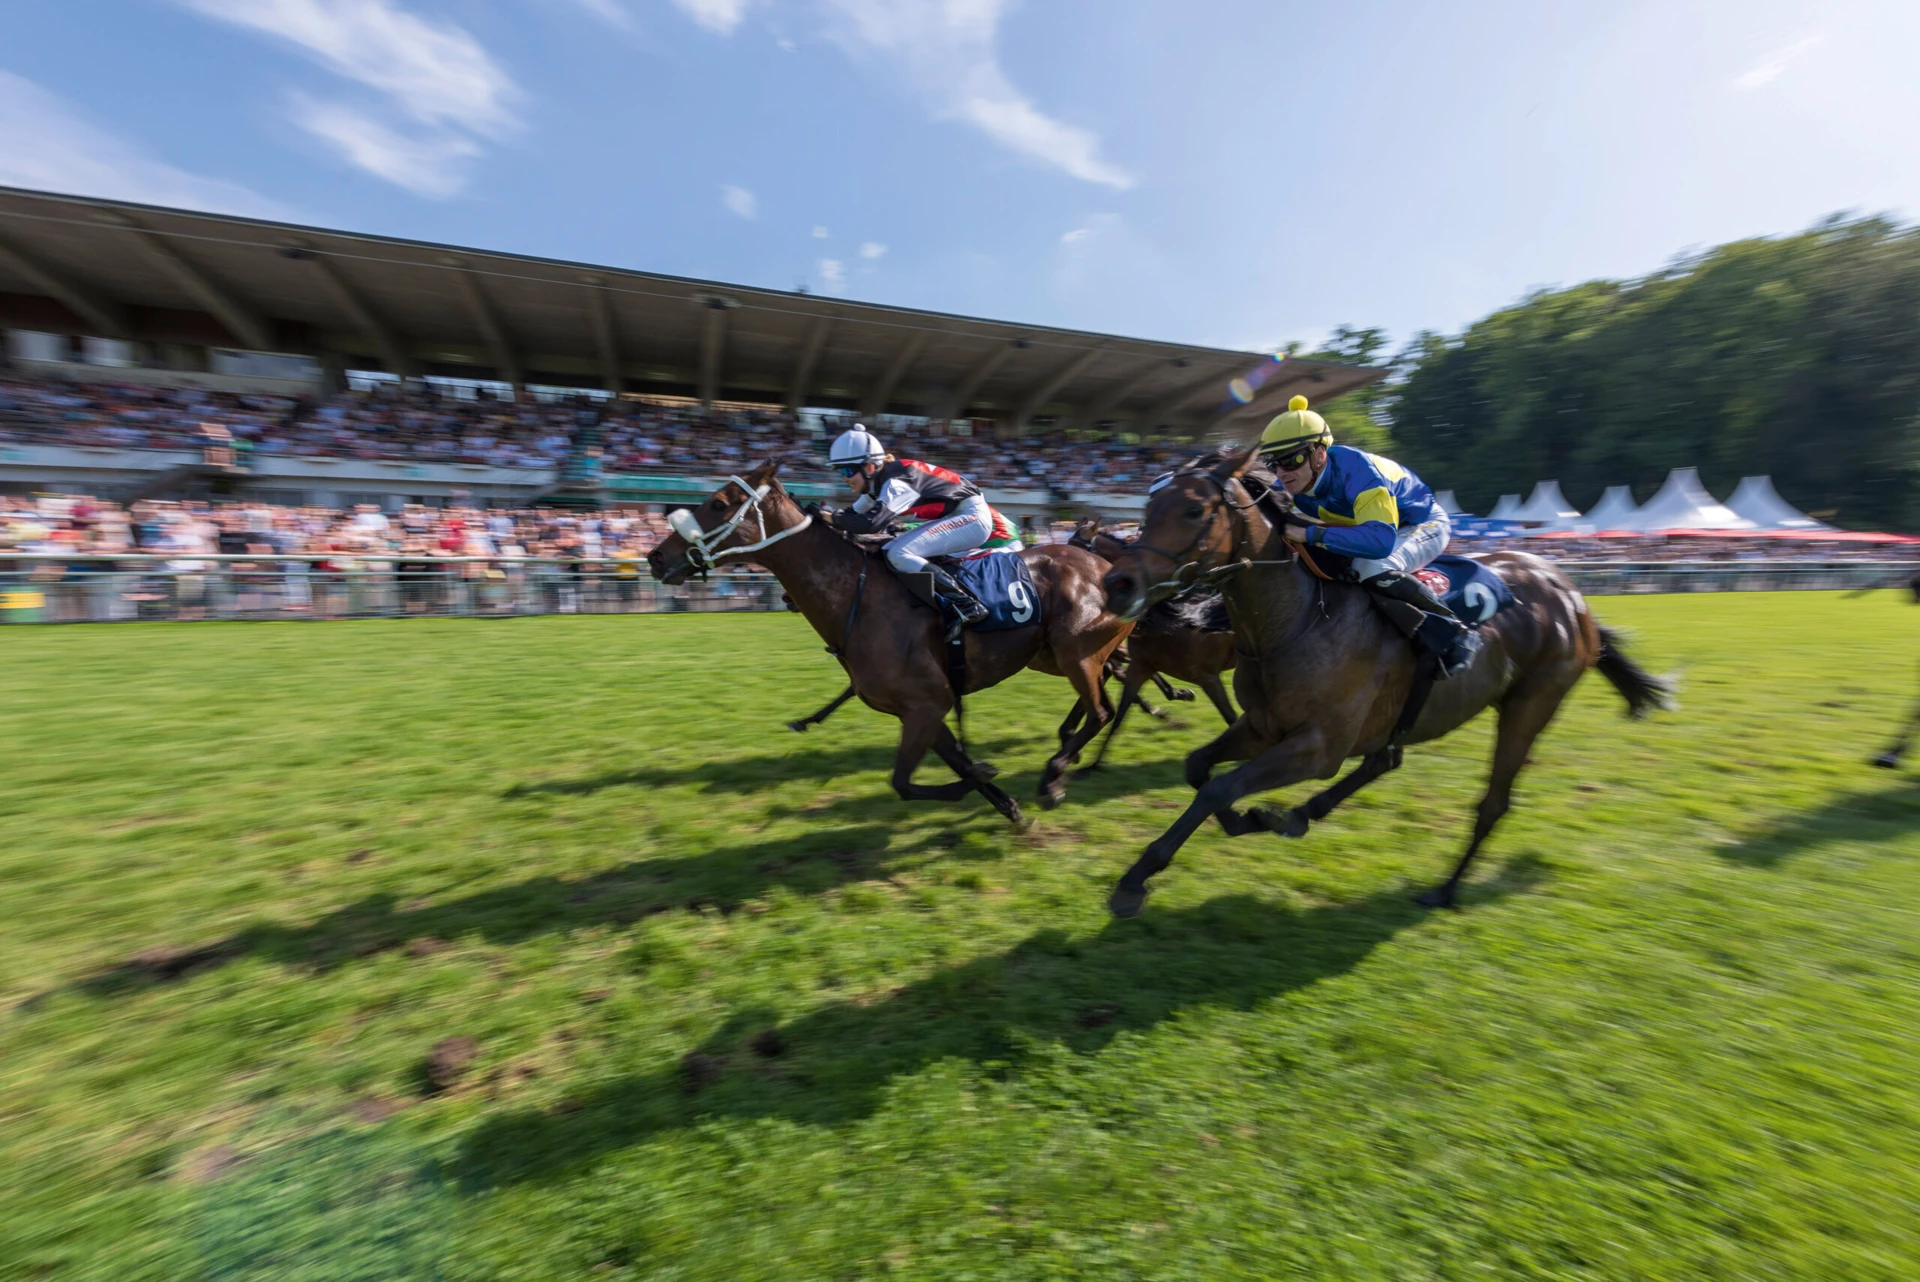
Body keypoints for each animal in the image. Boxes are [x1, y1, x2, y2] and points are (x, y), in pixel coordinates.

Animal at [645, 460, 1128, 821]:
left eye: (718, 503)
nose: (655, 557)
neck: (859, 599)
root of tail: (1108, 568)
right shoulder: (921, 709)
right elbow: (945, 768)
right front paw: (1005, 802)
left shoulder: (928, 703)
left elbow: (903, 782)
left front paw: (990, 777)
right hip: (1050, 656)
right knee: (1100, 701)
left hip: (1076, 655)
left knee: (1101, 711)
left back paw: (1054, 776)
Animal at [1105, 445, 1674, 917]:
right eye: (1147, 510)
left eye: (1193, 510)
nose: (1117, 584)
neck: (1298, 617)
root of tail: (1572, 596)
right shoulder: (1263, 725)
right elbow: (1199, 769)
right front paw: (1247, 820)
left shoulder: (1319, 746)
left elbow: (1219, 787)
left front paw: (1135, 879)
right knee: (1386, 759)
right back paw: (1300, 814)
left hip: (1530, 705)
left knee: (1492, 803)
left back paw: (1445, 889)